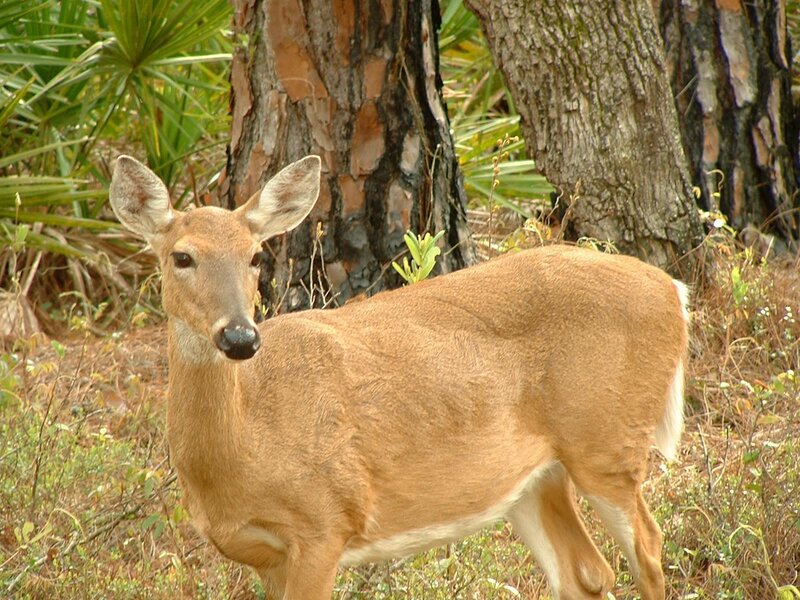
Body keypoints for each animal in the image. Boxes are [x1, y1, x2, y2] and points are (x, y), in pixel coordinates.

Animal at [109, 154, 689, 600]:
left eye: (255, 256)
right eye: (182, 257)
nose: (239, 337)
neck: (249, 439)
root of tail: (673, 291)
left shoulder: (325, 524)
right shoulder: (264, 556)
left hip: (606, 440)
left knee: (649, 549)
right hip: (533, 479)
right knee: (586, 574)